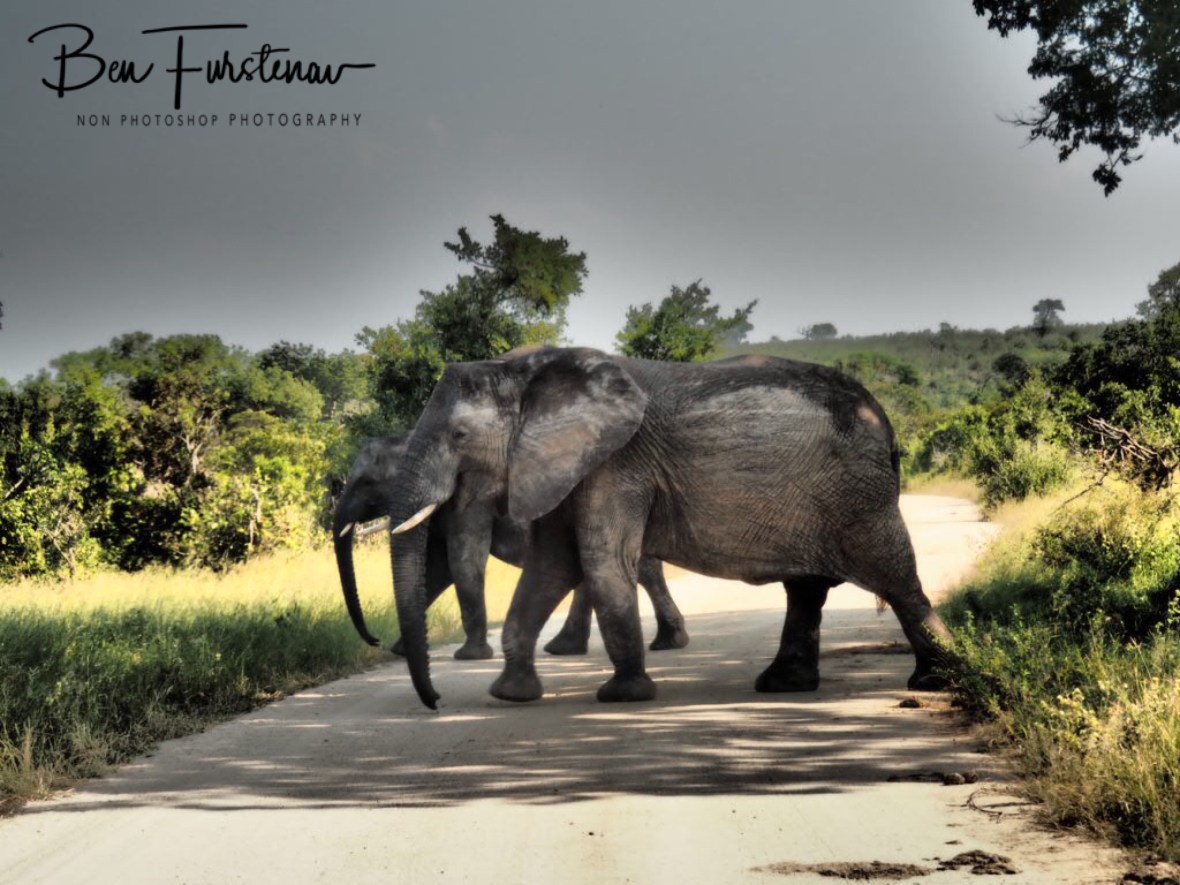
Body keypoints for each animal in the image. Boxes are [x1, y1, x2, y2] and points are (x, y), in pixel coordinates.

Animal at [333, 435, 688, 662]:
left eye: (366, 483)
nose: (373, 640)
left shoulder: (471, 499)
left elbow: (462, 561)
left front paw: (470, 656)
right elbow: (437, 569)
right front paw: (401, 650)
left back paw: (664, 644)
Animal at [385, 345, 955, 710]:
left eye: (459, 435)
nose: (435, 701)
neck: (524, 372)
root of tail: (885, 420)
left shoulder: (616, 465)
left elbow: (601, 561)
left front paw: (623, 697)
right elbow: (550, 569)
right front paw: (511, 694)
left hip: (859, 498)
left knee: (897, 580)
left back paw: (934, 683)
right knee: (807, 591)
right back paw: (783, 686)